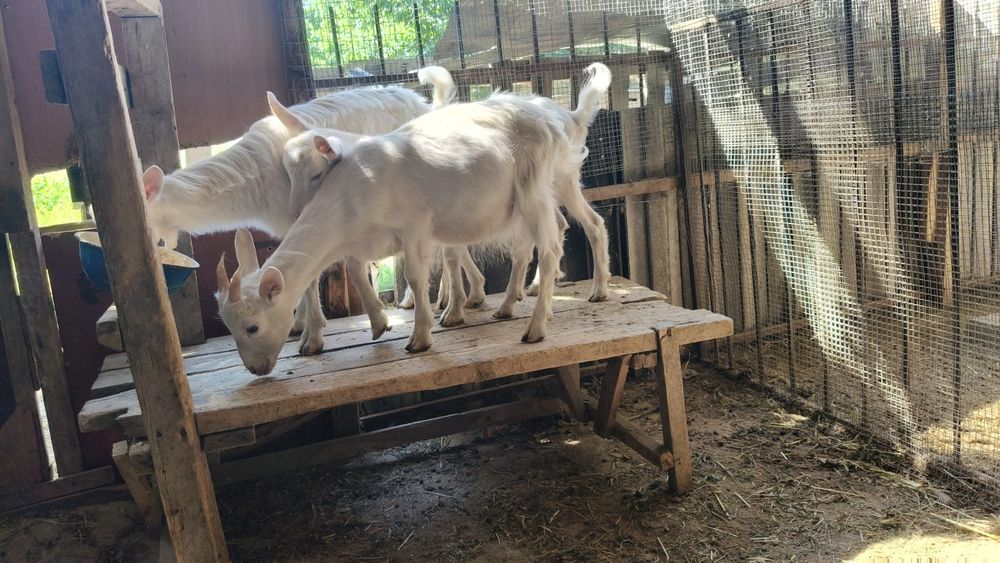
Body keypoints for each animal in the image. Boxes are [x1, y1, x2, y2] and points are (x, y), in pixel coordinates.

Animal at [215, 63, 612, 376]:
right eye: (229, 327)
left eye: (252, 327)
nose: (256, 369)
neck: (353, 190)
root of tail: (560, 118)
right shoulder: (366, 240)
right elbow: (359, 272)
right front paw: (379, 324)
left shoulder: (417, 227)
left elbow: (417, 277)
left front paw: (421, 336)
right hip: (540, 193)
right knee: (575, 229)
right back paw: (552, 299)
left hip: (536, 189)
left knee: (550, 248)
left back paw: (538, 326)